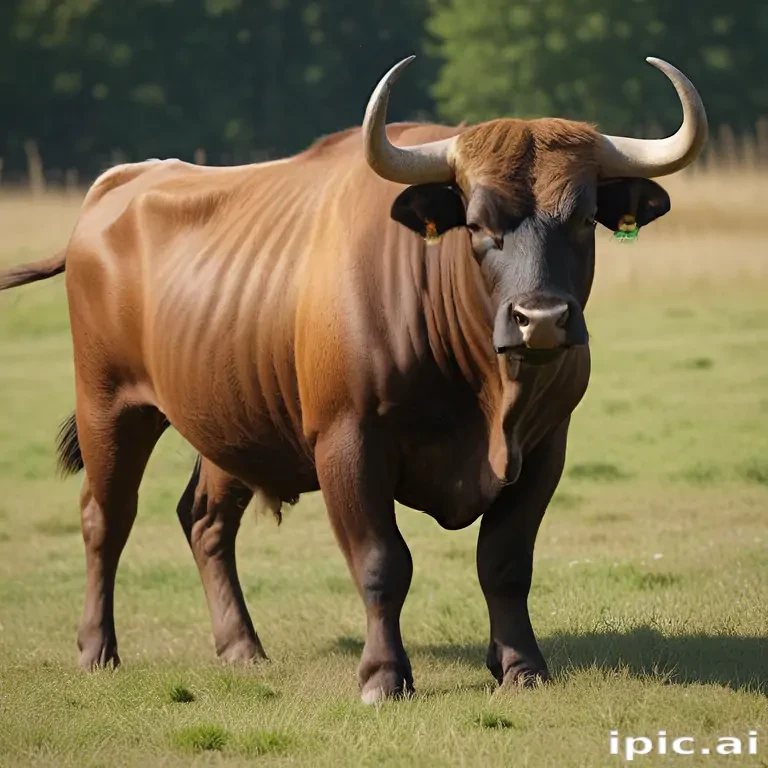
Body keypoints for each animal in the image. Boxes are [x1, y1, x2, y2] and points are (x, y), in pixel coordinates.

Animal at [0, 56, 706, 703]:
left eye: (584, 218)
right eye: (478, 224)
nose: (542, 320)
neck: (485, 391)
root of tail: (116, 188)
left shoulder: (543, 449)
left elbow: (505, 563)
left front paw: (521, 667)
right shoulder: (348, 443)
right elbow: (381, 563)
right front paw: (383, 676)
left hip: (224, 420)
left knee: (204, 520)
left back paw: (241, 647)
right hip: (110, 404)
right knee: (106, 517)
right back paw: (98, 650)